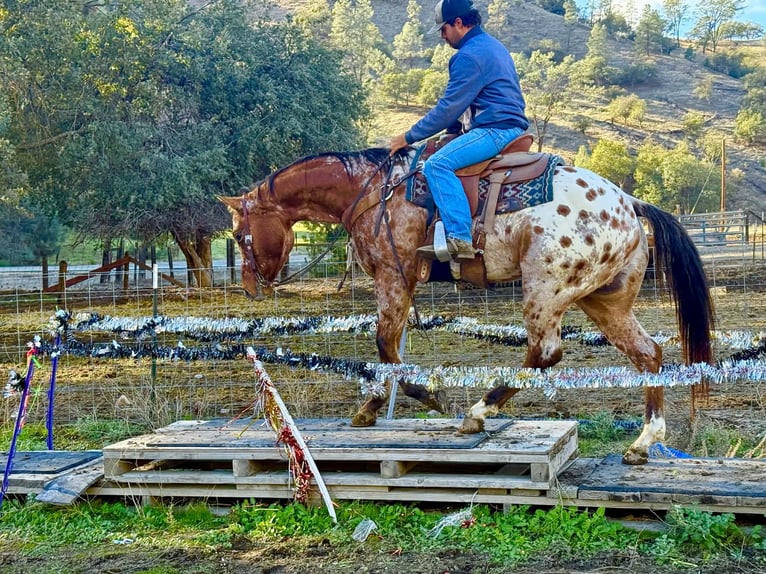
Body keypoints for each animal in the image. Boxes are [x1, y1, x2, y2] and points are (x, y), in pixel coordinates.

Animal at [219, 146, 715, 465]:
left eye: (241, 235)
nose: (249, 288)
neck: (373, 191)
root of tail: (629, 202)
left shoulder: (393, 275)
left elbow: (385, 343)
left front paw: (422, 395)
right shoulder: (400, 283)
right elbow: (389, 345)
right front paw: (374, 405)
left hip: (546, 288)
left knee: (544, 352)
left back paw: (478, 413)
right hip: (603, 300)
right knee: (648, 354)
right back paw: (643, 443)